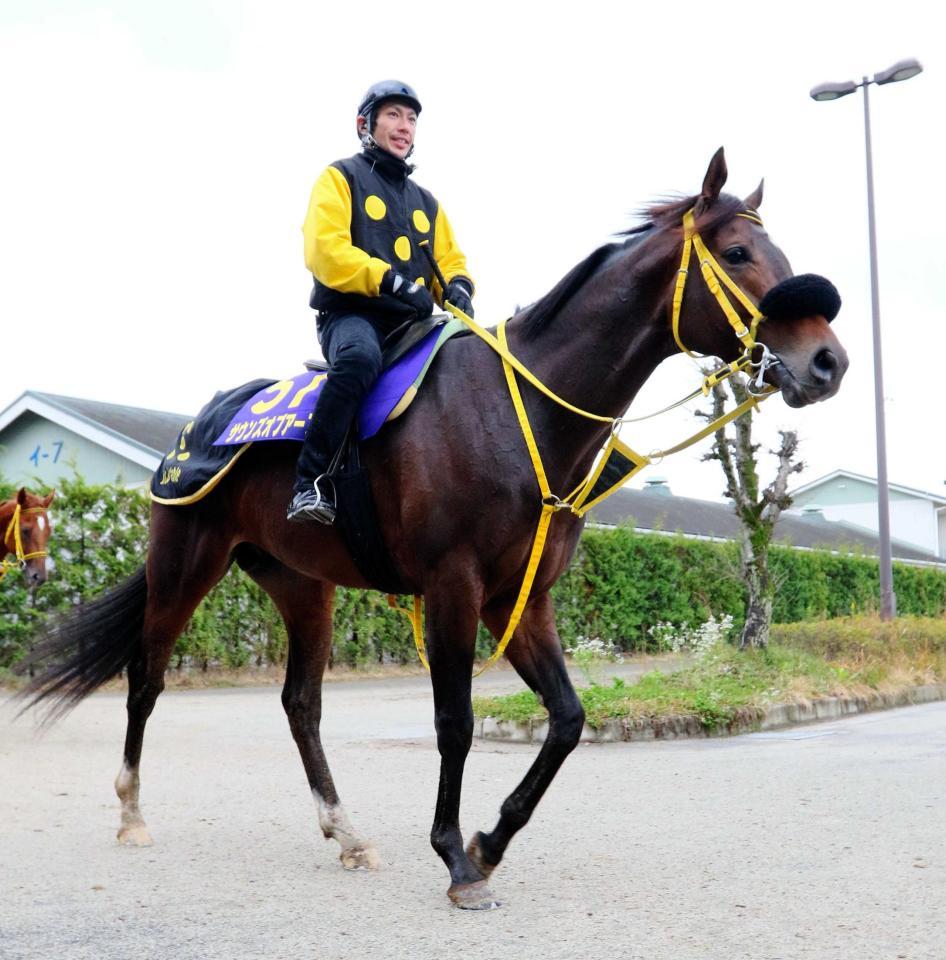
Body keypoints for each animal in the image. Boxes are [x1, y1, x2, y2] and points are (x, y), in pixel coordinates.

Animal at [22, 150, 848, 908]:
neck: (519, 411)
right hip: (184, 565)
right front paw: (456, 857)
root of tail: (201, 422)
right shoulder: (454, 586)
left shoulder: (521, 599)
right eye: (738, 254)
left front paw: (489, 841)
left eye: (780, 255)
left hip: (304, 587)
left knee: (301, 705)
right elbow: (456, 721)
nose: (827, 362)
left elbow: (568, 720)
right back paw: (132, 814)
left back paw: (347, 833)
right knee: (146, 678)